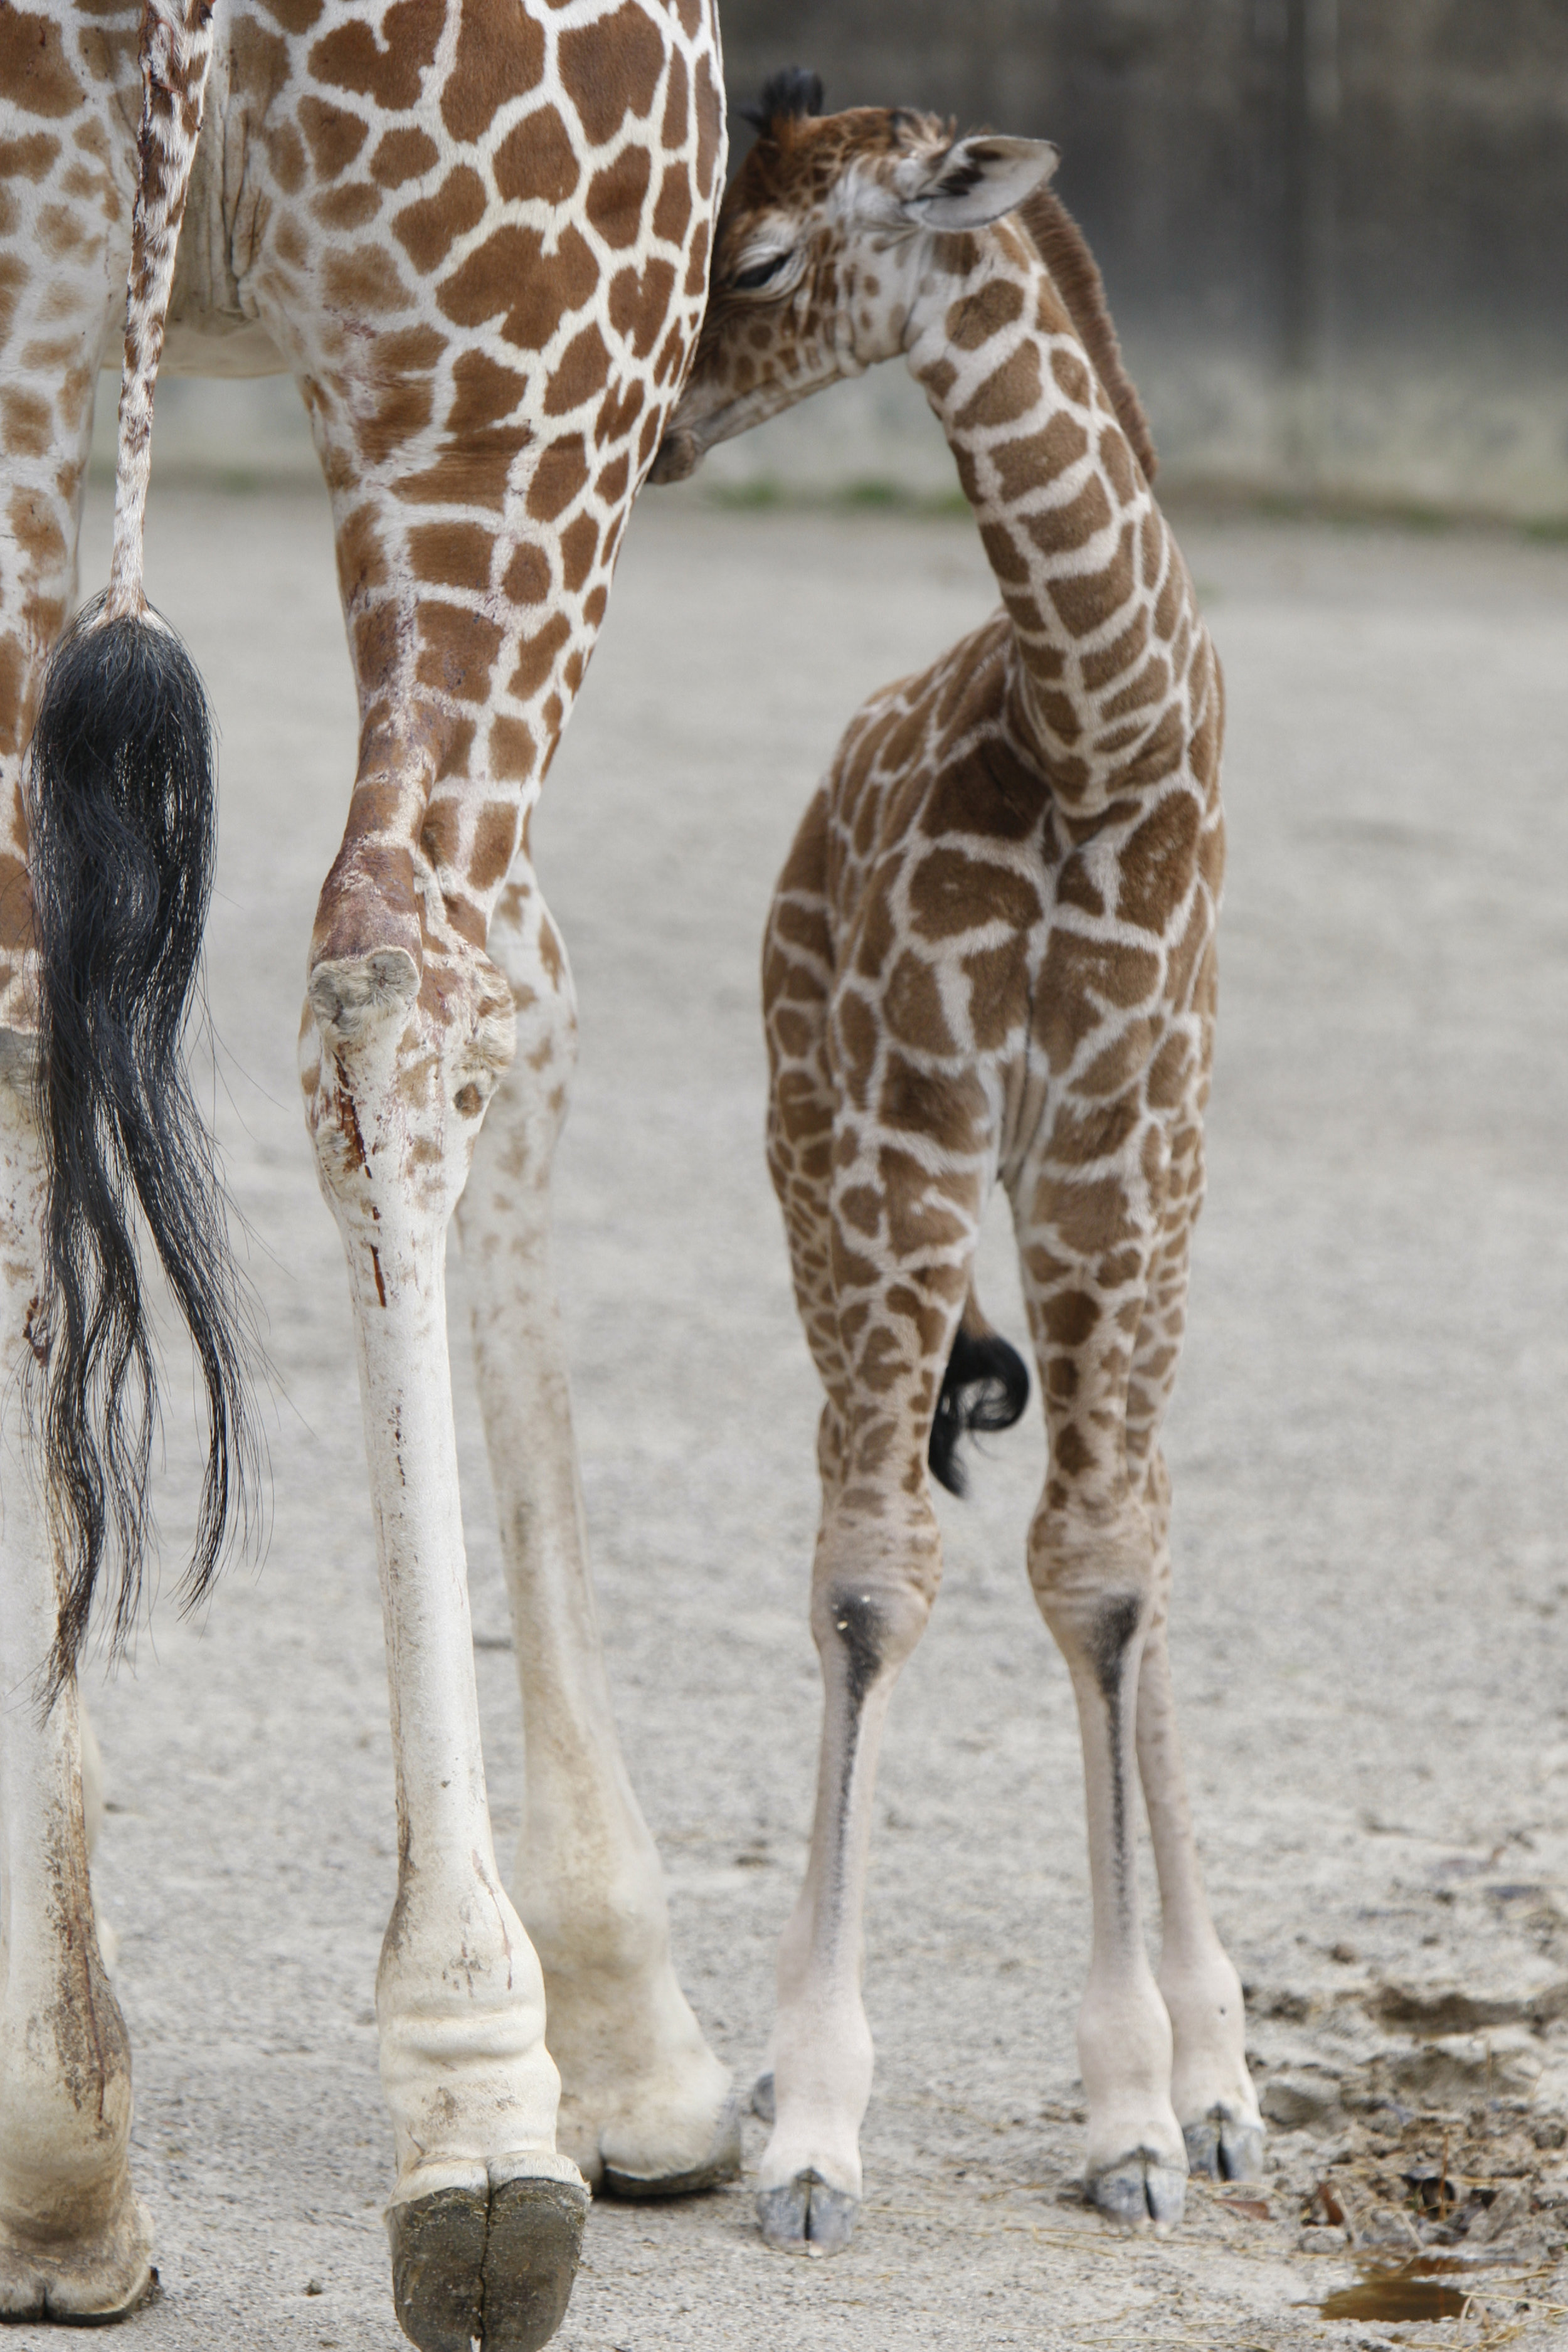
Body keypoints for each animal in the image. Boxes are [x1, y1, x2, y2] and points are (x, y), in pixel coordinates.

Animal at [0, 4, 738, 2352]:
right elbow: (519, 1003)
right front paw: (634, 2044)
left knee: (28, 992)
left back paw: (60, 2151)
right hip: (515, 340)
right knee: (389, 974)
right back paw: (478, 2124)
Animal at [658, 68, 1269, 2239]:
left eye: (760, 254)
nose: (653, 428)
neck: (1102, 737)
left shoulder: (1122, 1145)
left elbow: (1096, 1577)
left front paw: (1140, 2105)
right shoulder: (906, 1132)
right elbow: (868, 1586)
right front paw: (814, 2121)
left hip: (1114, 1209)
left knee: (1136, 1524)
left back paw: (1224, 2069)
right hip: (808, 1163)